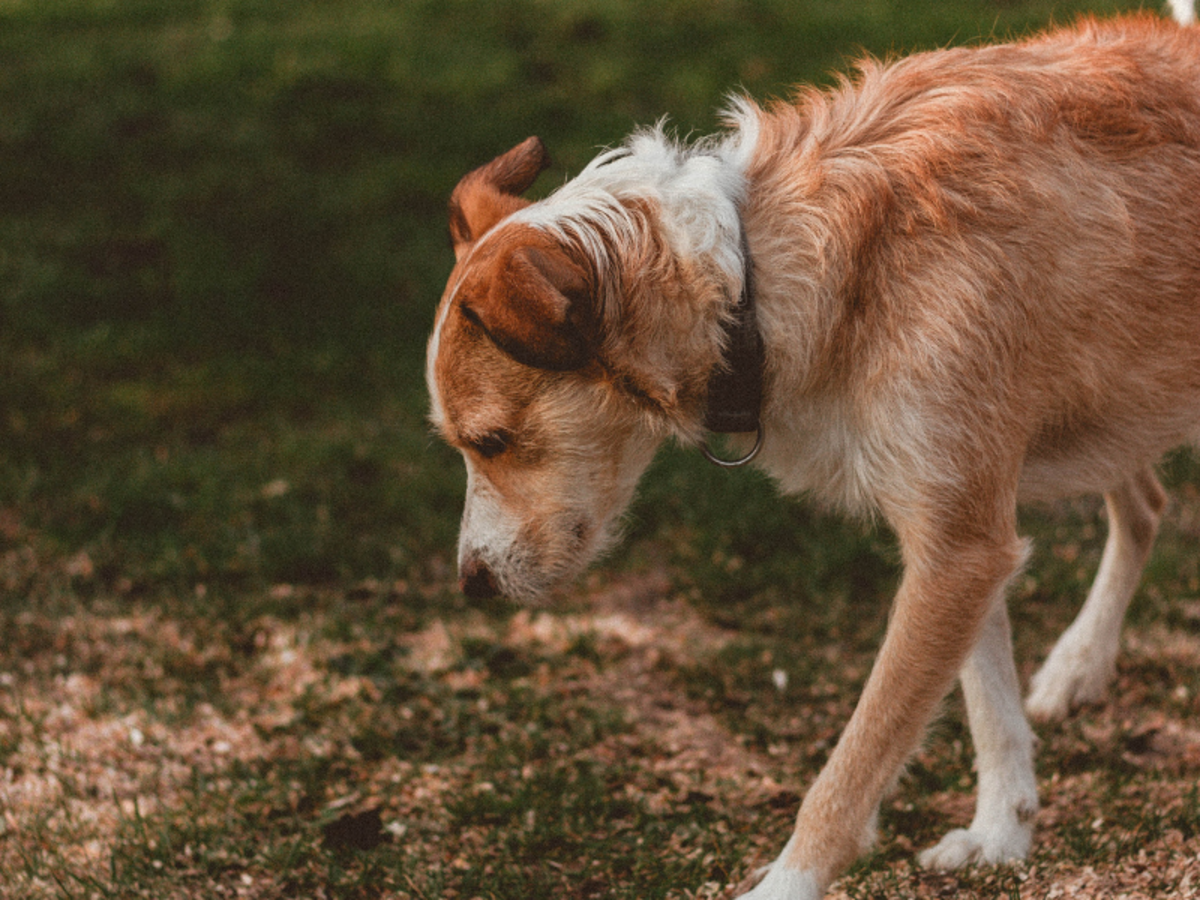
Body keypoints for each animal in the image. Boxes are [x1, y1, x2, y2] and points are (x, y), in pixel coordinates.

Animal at [424, 8, 1200, 900]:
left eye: (492, 441)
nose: (471, 584)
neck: (752, 277)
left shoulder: (959, 549)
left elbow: (855, 763)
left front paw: (788, 882)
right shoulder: (962, 529)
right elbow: (988, 706)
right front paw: (1002, 830)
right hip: (1112, 401)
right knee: (1145, 504)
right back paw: (1078, 666)